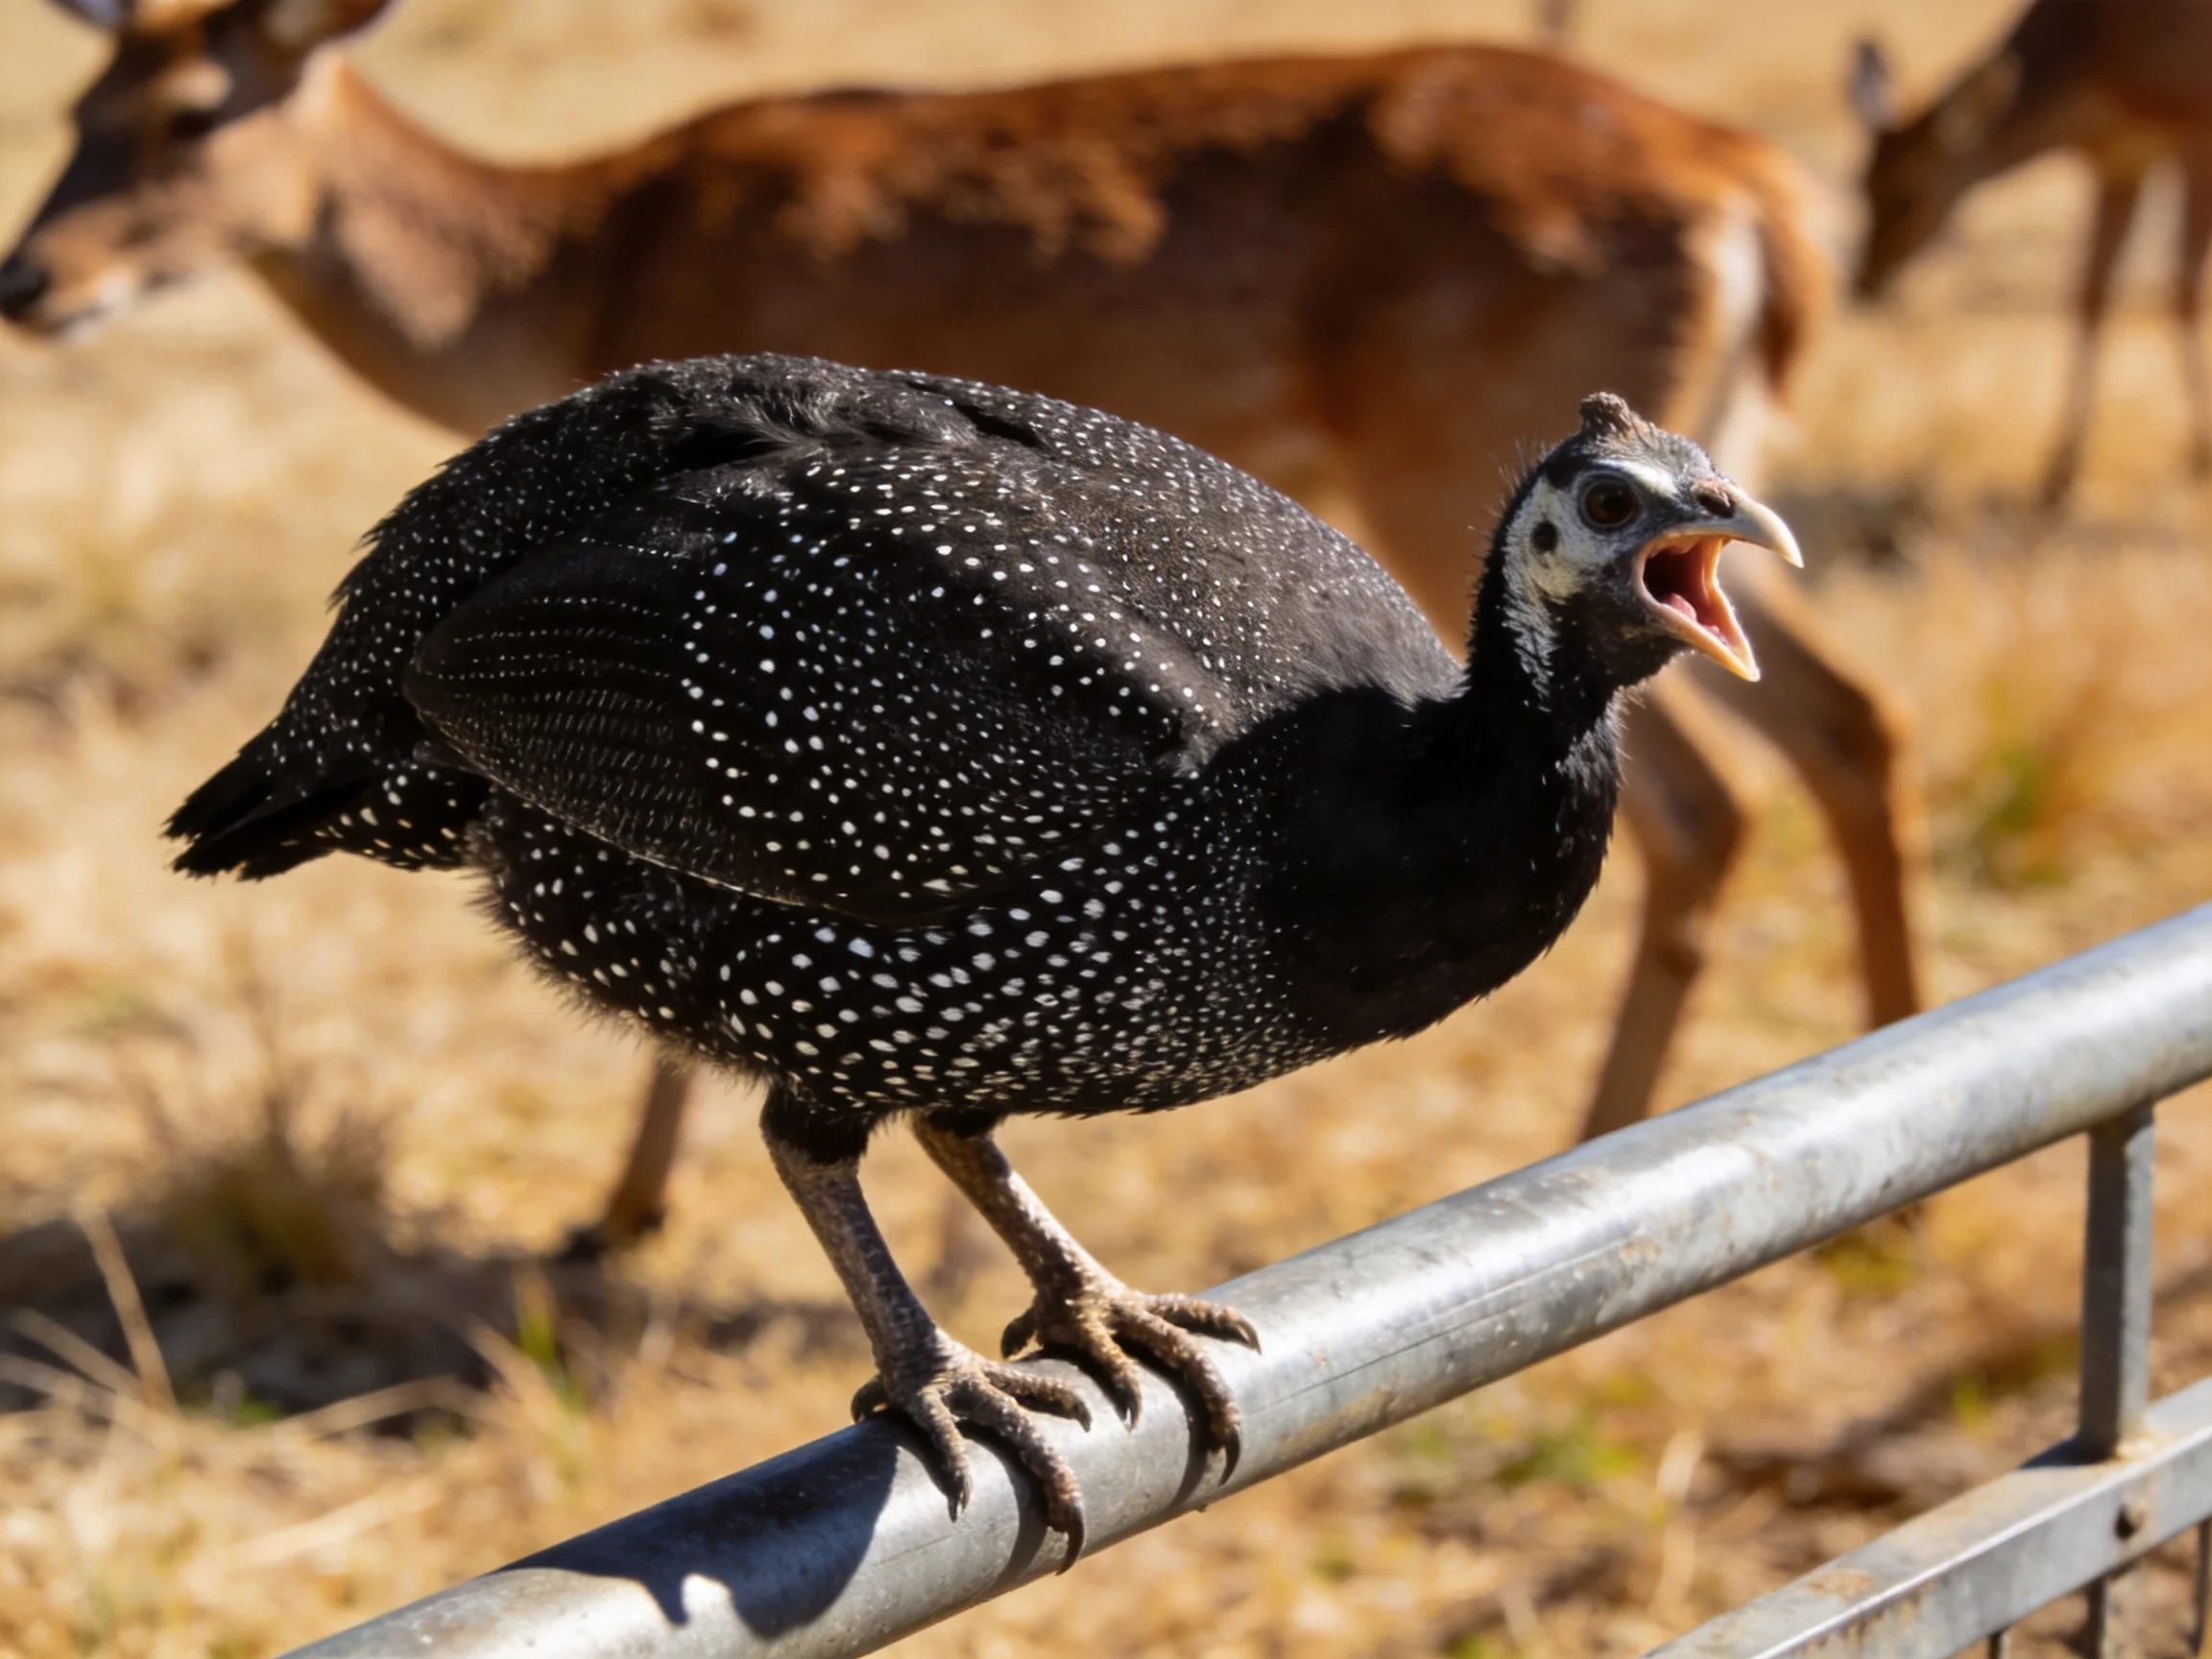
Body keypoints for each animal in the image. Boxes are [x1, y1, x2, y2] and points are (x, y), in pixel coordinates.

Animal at [2, 0, 1923, 1251]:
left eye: (188, 116)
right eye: (1606, 503)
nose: (1738, 523)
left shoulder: (1012, 1018)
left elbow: (972, 1148)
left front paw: (1087, 1309)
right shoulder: (908, 969)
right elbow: (831, 1144)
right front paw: (936, 1371)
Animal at [1852, 0, 2212, 506]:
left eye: (1909, 195)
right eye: (1860, 184)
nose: (1865, 281)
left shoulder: (2194, 133)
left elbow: (2183, 290)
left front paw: (2199, 457)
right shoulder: (2119, 160)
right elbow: (2090, 295)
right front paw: (2058, 473)